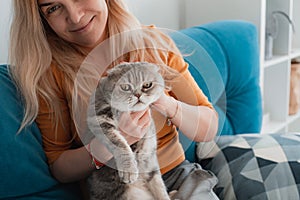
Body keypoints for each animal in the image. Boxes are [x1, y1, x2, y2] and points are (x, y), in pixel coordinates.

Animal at [86, 61, 171, 199]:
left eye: (147, 85)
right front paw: (129, 169)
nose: (138, 95)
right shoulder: (99, 119)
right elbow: (120, 143)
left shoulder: (150, 161)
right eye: (125, 87)